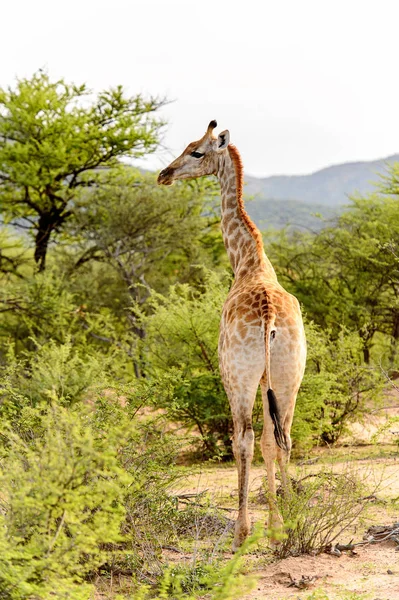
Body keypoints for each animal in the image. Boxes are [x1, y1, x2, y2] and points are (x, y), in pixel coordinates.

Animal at [158, 119, 308, 552]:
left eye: (196, 151)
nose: (164, 175)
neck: (247, 260)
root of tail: (270, 317)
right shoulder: (272, 380)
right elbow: (274, 441)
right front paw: (280, 520)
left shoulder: (237, 376)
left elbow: (246, 441)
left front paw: (253, 528)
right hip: (291, 375)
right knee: (282, 437)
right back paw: (289, 520)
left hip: (238, 378)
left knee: (244, 438)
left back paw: (244, 531)